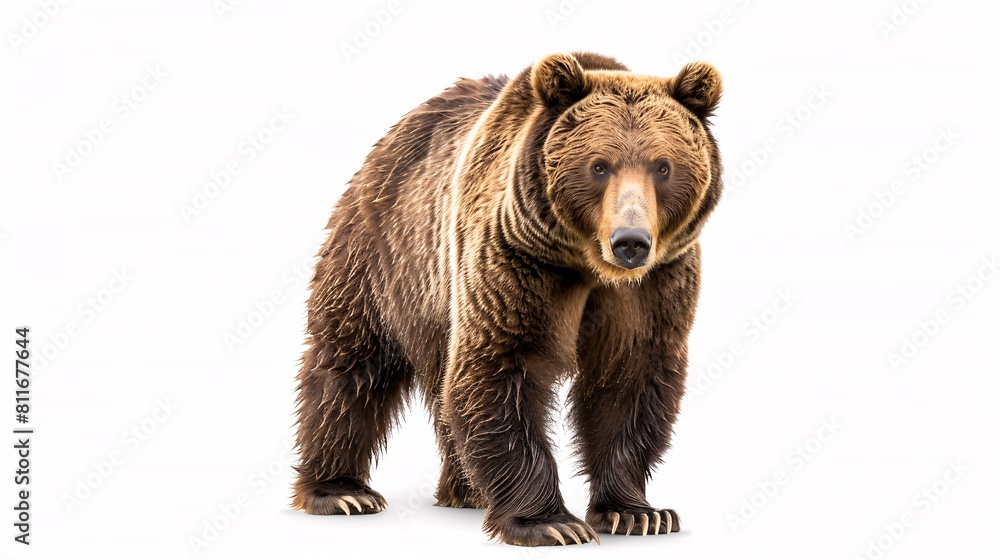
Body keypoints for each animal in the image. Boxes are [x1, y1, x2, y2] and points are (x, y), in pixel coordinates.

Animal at [292, 52, 723, 547]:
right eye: (599, 166)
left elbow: (630, 377)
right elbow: (500, 365)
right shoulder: (516, 260)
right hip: (384, 255)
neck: (587, 263)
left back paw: (466, 491)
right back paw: (341, 491)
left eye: (663, 166)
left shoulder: (652, 287)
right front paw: (551, 522)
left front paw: (637, 513)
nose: (630, 241)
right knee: (351, 363)